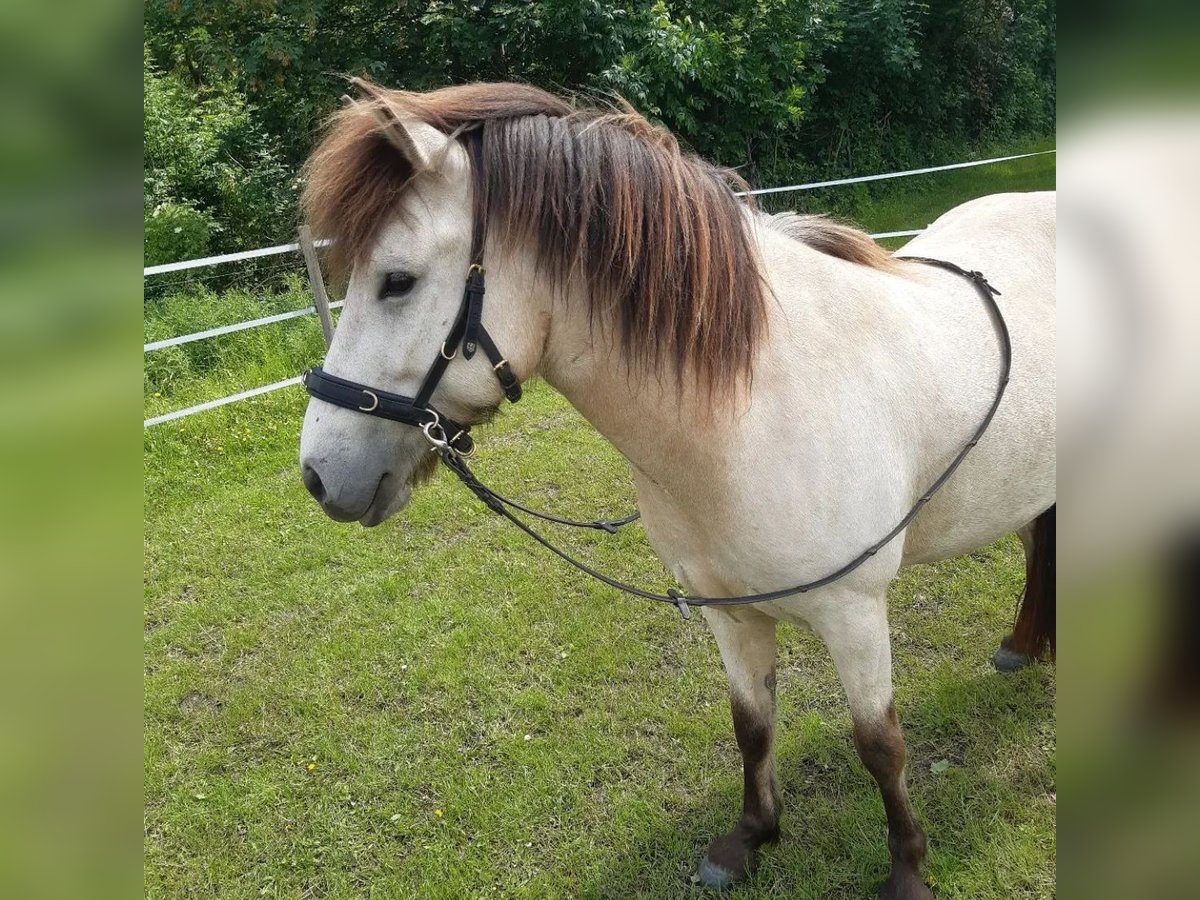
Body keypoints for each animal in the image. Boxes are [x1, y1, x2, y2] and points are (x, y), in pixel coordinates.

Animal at [297, 81, 1051, 897]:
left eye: (396, 281)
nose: (318, 474)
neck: (759, 407)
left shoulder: (854, 612)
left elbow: (880, 744)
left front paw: (907, 871)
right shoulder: (727, 608)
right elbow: (751, 723)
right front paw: (748, 839)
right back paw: (1022, 645)